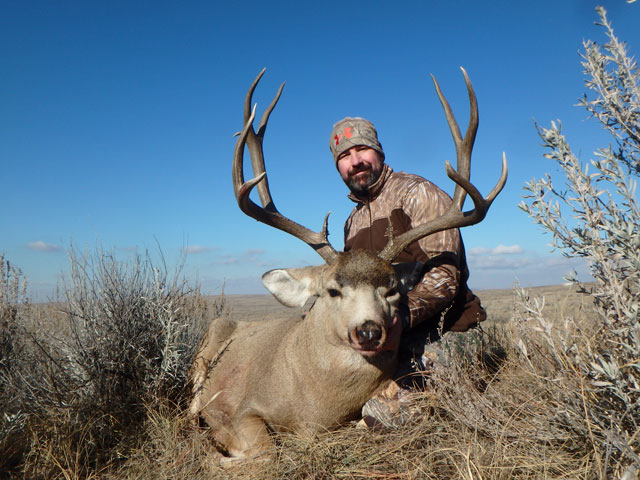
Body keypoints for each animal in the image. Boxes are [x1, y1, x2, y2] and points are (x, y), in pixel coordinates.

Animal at [188, 66, 508, 458]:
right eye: (332, 291)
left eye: (392, 290)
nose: (368, 331)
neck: (314, 407)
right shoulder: (239, 406)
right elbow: (265, 450)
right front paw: (221, 451)